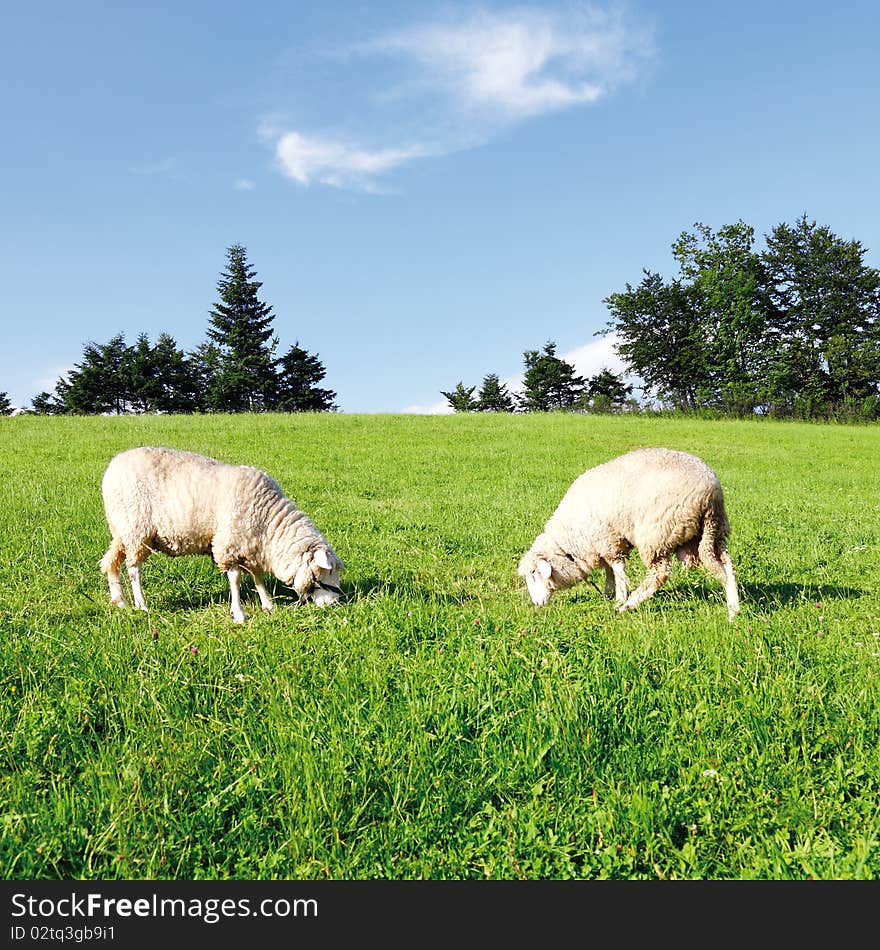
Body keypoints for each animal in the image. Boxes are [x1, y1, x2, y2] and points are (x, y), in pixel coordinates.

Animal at [98, 448, 342, 624]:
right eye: (325, 571)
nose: (335, 603)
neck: (268, 523)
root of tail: (113, 466)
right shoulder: (229, 546)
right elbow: (235, 579)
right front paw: (239, 614)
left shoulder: (251, 546)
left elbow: (258, 576)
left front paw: (267, 604)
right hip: (137, 530)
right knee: (133, 569)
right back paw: (142, 605)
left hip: (122, 531)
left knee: (111, 562)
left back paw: (119, 601)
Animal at [520, 448, 740, 620]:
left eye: (534, 574)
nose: (536, 604)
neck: (570, 543)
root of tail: (711, 493)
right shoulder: (605, 544)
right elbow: (609, 570)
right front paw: (608, 593)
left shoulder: (608, 540)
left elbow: (617, 569)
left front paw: (619, 598)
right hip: (714, 532)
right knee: (727, 566)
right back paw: (733, 610)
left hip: (656, 535)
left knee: (659, 574)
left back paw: (629, 605)